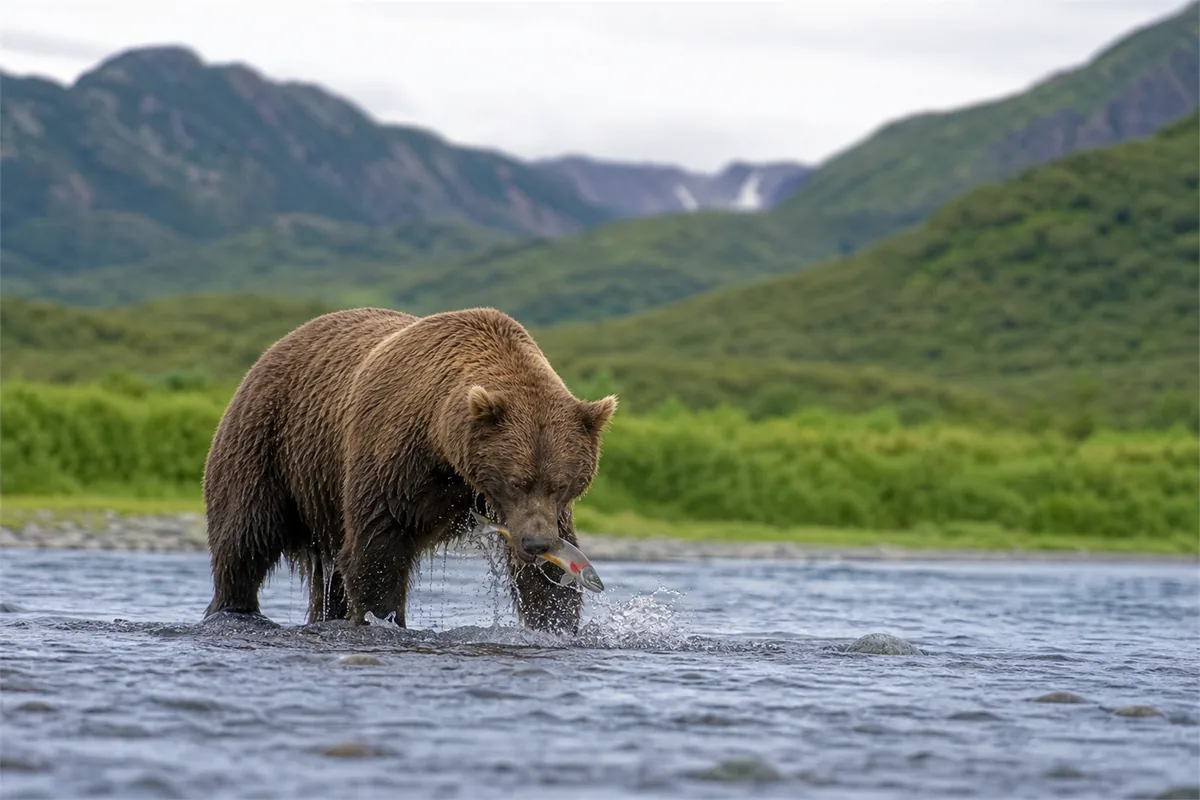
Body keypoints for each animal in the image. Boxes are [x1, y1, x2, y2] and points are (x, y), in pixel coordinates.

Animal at [200, 306, 617, 633]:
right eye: (517, 481)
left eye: (562, 485)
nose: (537, 543)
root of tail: (273, 348)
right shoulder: (393, 455)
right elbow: (377, 549)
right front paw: (384, 619)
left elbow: (543, 582)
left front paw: (555, 621)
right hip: (268, 442)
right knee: (243, 539)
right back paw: (232, 610)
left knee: (328, 573)